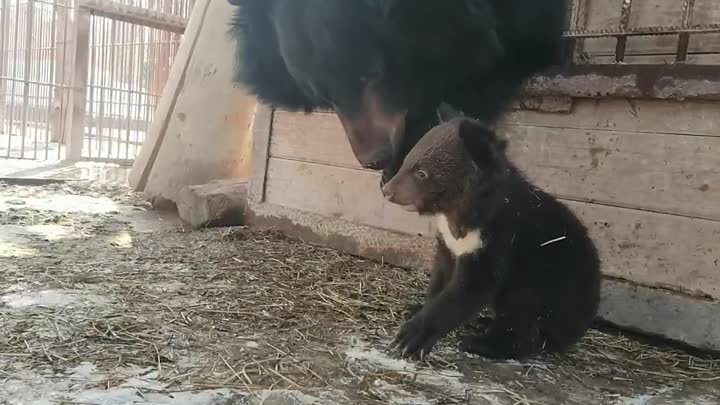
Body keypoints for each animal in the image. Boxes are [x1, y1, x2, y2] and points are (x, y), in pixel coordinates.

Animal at [382, 117, 600, 360]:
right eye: (407, 161)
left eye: (421, 173)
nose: (386, 191)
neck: (461, 211)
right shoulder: (449, 242)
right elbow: (442, 272)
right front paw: (416, 307)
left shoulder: (498, 238)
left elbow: (474, 285)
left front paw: (410, 337)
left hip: (545, 278)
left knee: (522, 314)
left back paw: (482, 343)